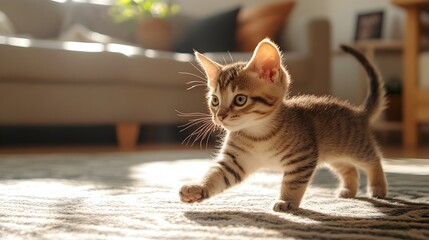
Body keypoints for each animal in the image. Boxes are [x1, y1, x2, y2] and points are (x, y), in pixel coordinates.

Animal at [179, 38, 386, 212]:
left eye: (240, 99)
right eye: (214, 100)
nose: (219, 116)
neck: (257, 134)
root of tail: (358, 112)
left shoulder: (303, 157)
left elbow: (293, 182)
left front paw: (287, 201)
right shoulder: (235, 162)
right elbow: (217, 174)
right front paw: (198, 187)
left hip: (355, 147)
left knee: (373, 159)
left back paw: (378, 188)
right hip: (333, 154)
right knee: (349, 168)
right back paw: (349, 190)